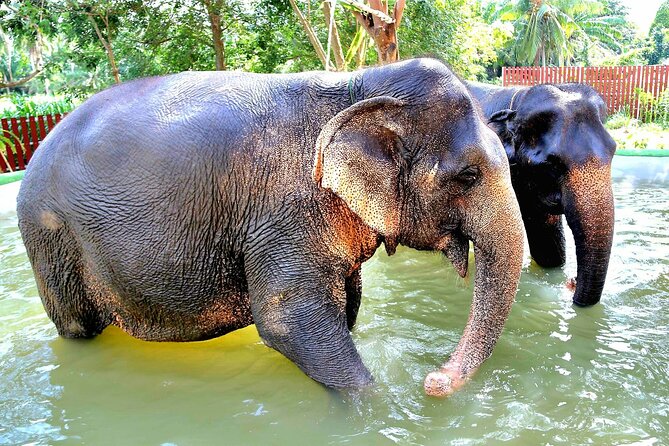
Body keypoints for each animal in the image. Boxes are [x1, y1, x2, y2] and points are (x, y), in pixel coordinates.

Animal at [17, 58, 524, 396]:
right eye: (468, 176)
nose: (432, 380)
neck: (359, 86)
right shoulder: (283, 211)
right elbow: (288, 321)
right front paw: (375, 407)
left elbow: (347, 303)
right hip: (50, 237)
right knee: (76, 326)